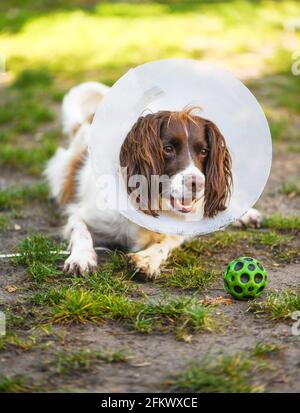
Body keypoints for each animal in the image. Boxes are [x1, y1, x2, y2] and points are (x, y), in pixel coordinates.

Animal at [44, 82, 262, 278]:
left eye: (204, 151)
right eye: (168, 149)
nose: (198, 184)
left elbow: (165, 242)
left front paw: (147, 260)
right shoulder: (81, 214)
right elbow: (81, 232)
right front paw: (81, 258)